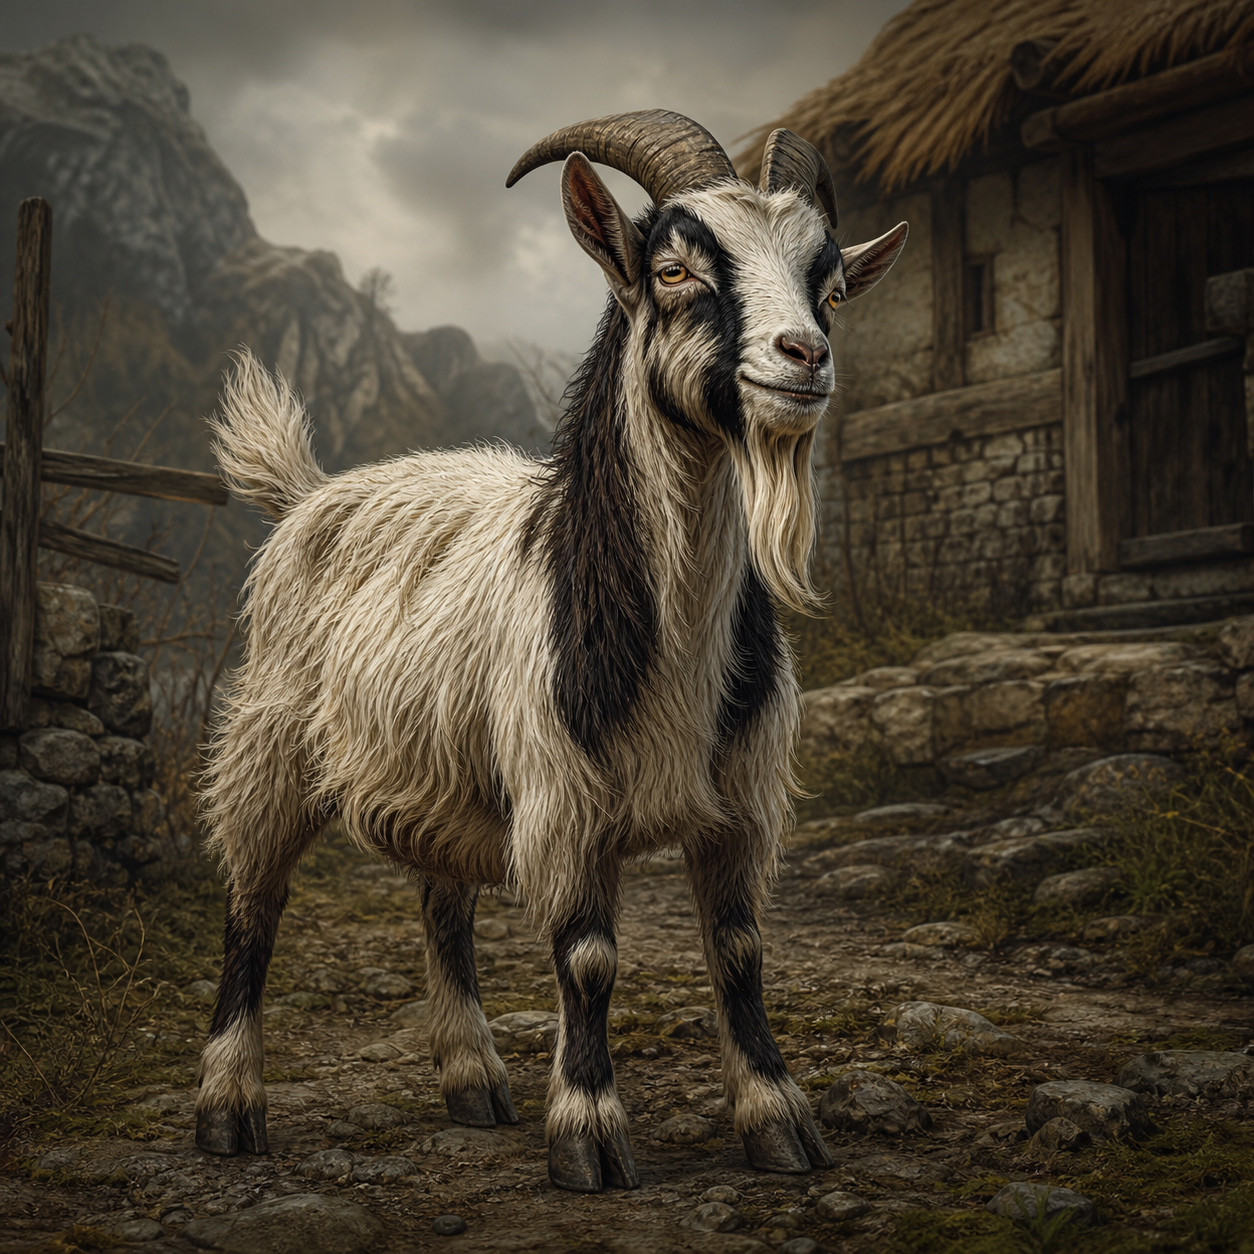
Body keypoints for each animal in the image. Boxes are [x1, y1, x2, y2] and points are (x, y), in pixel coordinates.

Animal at [195, 110, 908, 1193]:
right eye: (672, 269)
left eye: (828, 284)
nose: (805, 356)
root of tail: (309, 494)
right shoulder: (566, 800)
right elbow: (587, 958)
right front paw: (588, 1133)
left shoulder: (739, 803)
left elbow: (740, 949)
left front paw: (779, 1119)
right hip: (269, 742)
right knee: (253, 902)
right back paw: (229, 1109)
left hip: (441, 772)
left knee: (443, 906)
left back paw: (473, 1082)